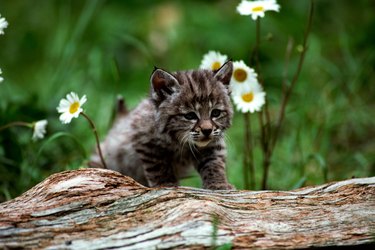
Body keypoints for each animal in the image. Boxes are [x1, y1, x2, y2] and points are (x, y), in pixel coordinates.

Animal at [91, 60, 234, 189]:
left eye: (215, 113)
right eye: (190, 116)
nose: (207, 130)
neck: (180, 141)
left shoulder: (213, 142)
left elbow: (214, 163)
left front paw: (218, 184)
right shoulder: (145, 141)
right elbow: (158, 165)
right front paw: (166, 185)